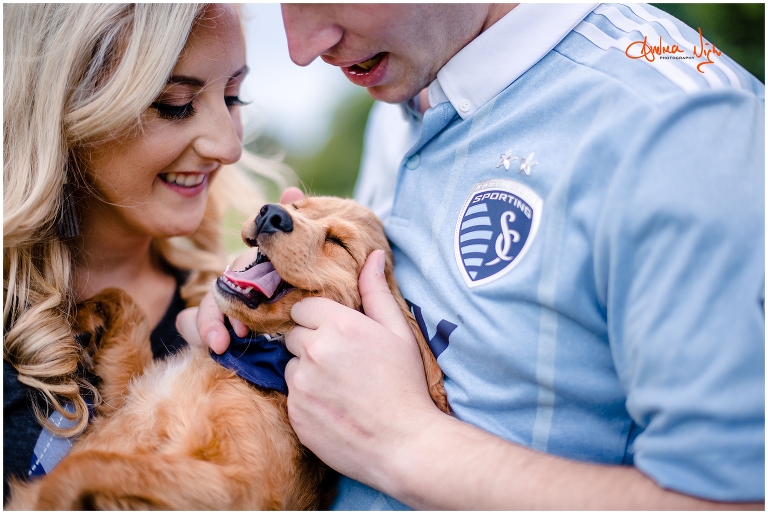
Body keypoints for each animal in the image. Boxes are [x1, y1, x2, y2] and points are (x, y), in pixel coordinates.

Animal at [6, 196, 448, 508]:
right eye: (298, 206)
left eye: (338, 243)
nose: (272, 213)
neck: (246, 359)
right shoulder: (124, 398)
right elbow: (126, 304)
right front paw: (80, 313)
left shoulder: (239, 486)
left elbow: (89, 465)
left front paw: (47, 498)